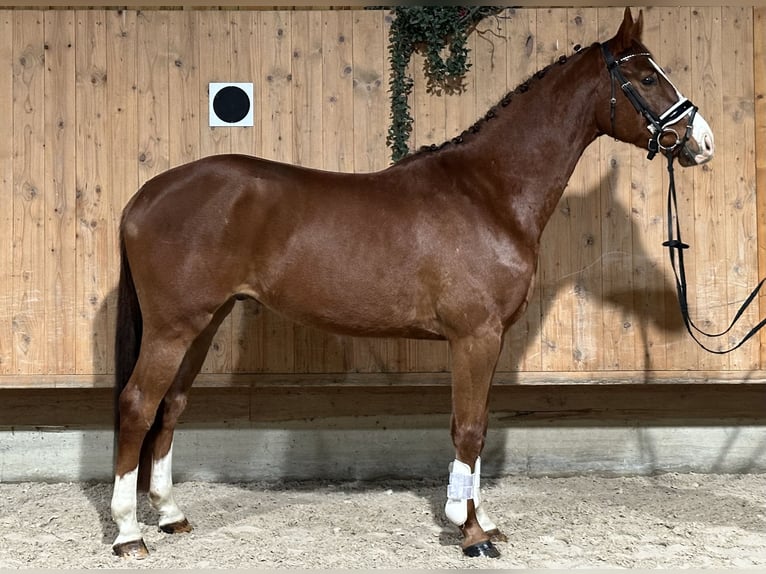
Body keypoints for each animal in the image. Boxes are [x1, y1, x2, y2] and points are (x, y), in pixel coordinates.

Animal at [111, 7, 716, 560]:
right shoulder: (475, 336)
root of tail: (145, 195)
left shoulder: (487, 340)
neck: (489, 193)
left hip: (204, 322)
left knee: (172, 404)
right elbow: (468, 429)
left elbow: (479, 424)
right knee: (139, 404)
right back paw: (128, 534)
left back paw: (170, 515)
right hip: (173, 328)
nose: (701, 141)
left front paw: (481, 520)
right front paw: (469, 534)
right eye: (646, 78)